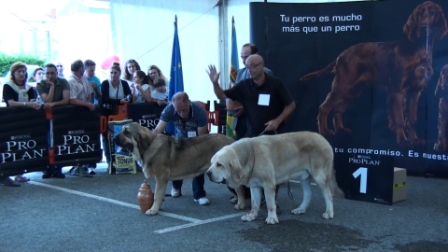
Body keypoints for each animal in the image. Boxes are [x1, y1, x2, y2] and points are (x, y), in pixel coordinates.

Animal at [206, 132, 344, 224]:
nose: (208, 173)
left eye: (219, 164)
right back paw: (300, 209)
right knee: (308, 194)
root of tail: (324, 139)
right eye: (211, 163)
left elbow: (270, 203)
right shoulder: (255, 185)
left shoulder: (268, 184)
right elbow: (254, 204)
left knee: (328, 196)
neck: (249, 156)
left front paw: (272, 218)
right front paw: (251, 216)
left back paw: (329, 213)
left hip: (319, 176)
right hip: (304, 177)